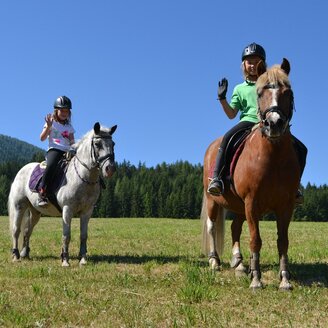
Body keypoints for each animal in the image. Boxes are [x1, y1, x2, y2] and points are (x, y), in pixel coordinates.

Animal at [7, 122, 118, 266]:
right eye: (97, 144)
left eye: (113, 144)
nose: (110, 169)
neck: (83, 178)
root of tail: (22, 170)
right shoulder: (67, 209)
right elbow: (66, 235)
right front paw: (65, 260)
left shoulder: (87, 212)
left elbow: (83, 235)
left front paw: (83, 259)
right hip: (19, 206)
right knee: (16, 230)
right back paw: (16, 255)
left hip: (35, 212)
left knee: (27, 231)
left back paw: (25, 253)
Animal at [200, 59, 300, 290]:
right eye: (260, 92)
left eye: (288, 92)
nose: (274, 123)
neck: (273, 157)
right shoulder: (252, 202)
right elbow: (256, 239)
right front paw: (256, 279)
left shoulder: (286, 205)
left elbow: (283, 241)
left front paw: (284, 279)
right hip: (213, 200)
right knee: (211, 226)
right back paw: (214, 261)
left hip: (239, 205)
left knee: (235, 227)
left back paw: (238, 263)